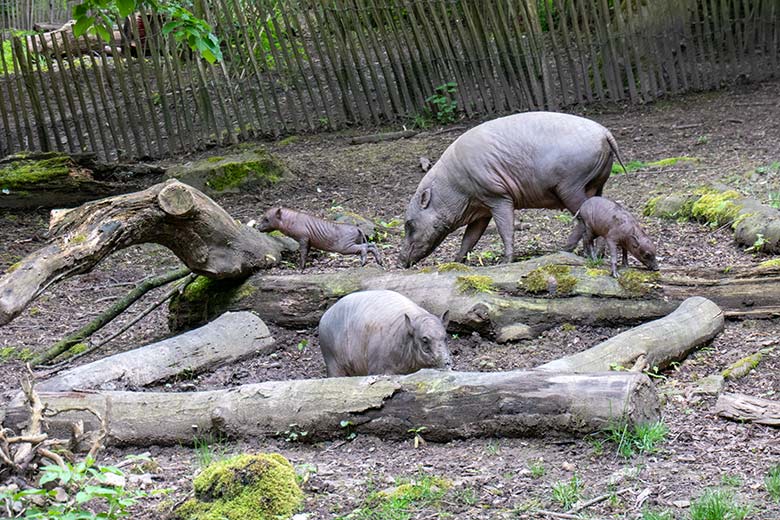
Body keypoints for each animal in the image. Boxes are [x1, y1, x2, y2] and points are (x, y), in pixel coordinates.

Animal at [316, 288, 450, 378]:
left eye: (445, 338)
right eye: (424, 340)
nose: (447, 363)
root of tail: (325, 315)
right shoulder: (378, 369)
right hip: (333, 362)